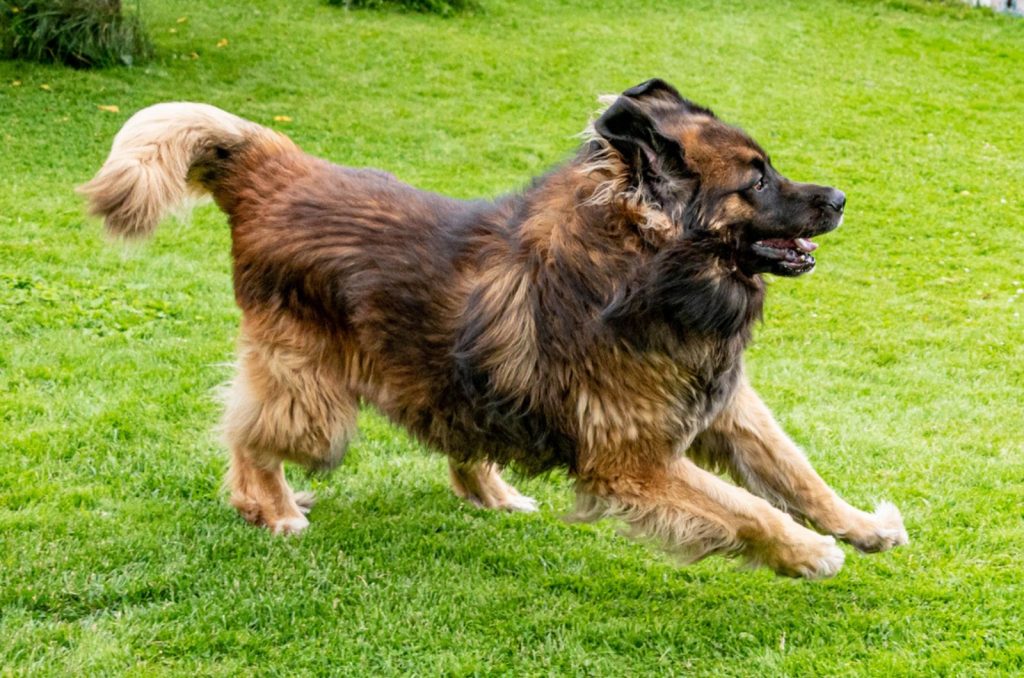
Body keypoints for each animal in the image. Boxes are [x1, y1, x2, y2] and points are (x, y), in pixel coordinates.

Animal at [83, 79, 909, 577]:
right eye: (757, 181)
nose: (840, 199)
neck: (649, 269)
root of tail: (273, 166)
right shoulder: (634, 461)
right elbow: (747, 507)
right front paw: (807, 552)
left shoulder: (725, 406)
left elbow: (796, 472)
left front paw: (860, 526)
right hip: (313, 394)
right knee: (249, 435)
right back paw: (272, 508)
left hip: (449, 371)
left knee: (454, 436)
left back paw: (492, 493)